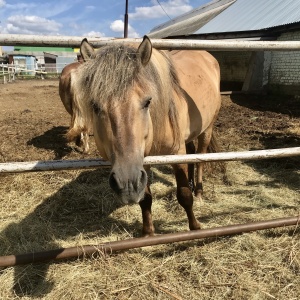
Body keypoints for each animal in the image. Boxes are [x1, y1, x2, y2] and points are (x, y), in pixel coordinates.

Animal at [69, 36, 221, 236]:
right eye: (95, 106)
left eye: (148, 101)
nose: (127, 184)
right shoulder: (143, 162)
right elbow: (145, 199)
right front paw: (148, 233)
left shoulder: (176, 153)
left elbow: (184, 195)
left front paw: (195, 227)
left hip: (207, 129)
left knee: (200, 159)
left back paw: (199, 192)